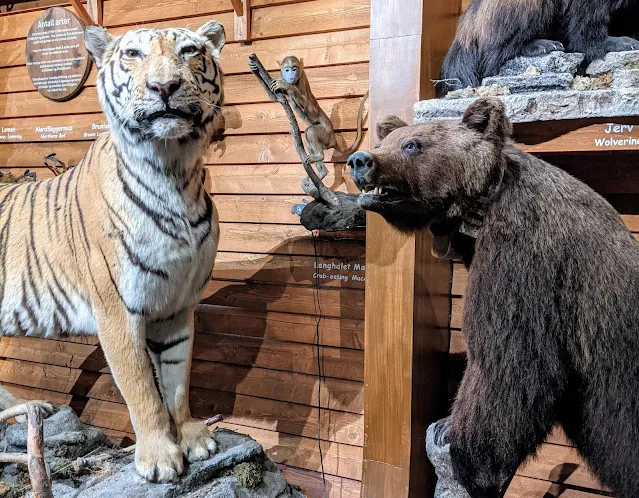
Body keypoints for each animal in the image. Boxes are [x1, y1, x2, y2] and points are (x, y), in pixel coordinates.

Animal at [0, 20, 226, 482]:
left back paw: (31, 408)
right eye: (133, 54)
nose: (164, 86)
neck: (174, 170)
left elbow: (177, 380)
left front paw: (193, 438)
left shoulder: (177, 306)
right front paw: (159, 457)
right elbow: (143, 390)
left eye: (190, 51)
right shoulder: (118, 310)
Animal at [252, 54, 368, 195]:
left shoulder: (302, 79)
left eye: (294, 69)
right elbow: (275, 97)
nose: (290, 76)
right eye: (286, 70)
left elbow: (307, 106)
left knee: (310, 131)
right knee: (309, 139)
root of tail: (333, 139)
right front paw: (255, 68)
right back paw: (322, 172)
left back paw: (319, 156)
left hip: (326, 135)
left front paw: (287, 86)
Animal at [350, 98, 639, 498]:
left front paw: (470, 458)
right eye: (386, 141)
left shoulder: (527, 253)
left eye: (413, 144)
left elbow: (513, 359)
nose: (361, 160)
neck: (481, 207)